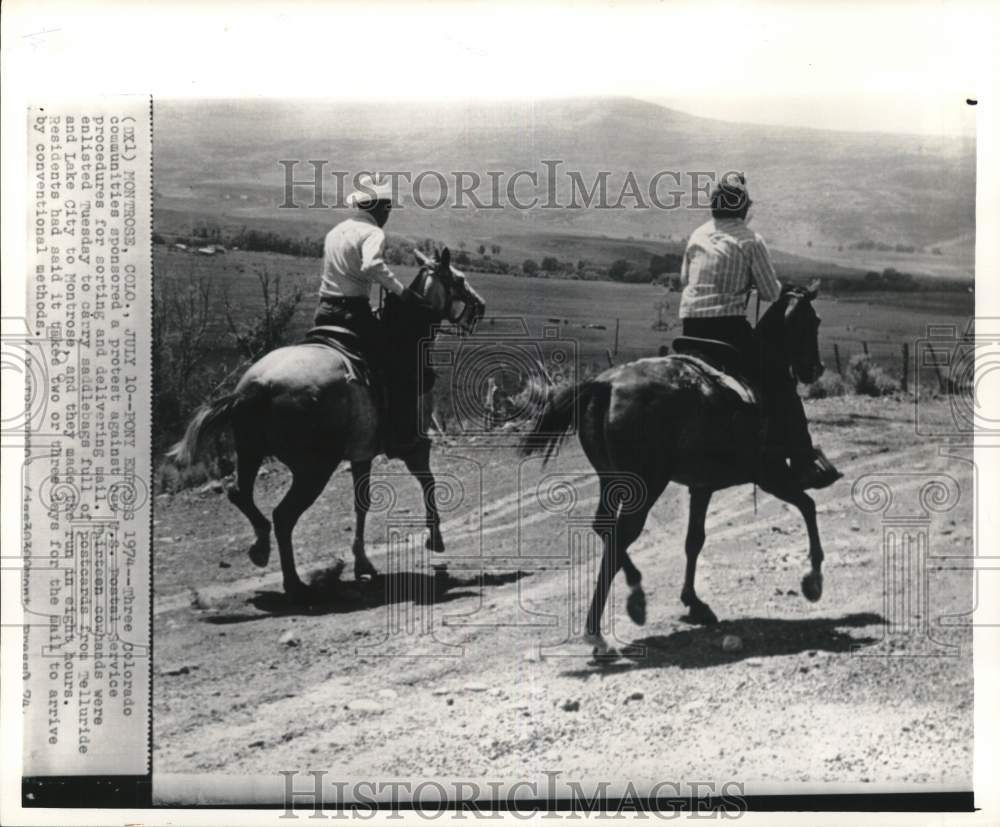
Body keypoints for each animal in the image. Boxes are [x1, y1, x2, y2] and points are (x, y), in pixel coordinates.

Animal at [167, 246, 484, 600]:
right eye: (459, 279)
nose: (481, 307)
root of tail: (257, 386)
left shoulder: (362, 453)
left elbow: (362, 503)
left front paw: (363, 564)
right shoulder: (414, 446)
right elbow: (428, 483)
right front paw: (435, 539)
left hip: (250, 452)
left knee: (240, 494)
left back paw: (261, 548)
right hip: (313, 469)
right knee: (283, 516)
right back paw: (293, 582)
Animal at [524, 284, 828, 660]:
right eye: (813, 321)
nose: (816, 369)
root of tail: (605, 385)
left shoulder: (701, 486)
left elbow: (694, 540)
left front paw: (694, 603)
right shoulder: (770, 475)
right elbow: (808, 506)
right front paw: (813, 580)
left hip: (610, 480)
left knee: (605, 528)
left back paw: (608, 623)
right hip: (645, 485)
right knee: (621, 534)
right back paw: (617, 616)